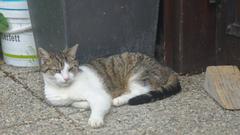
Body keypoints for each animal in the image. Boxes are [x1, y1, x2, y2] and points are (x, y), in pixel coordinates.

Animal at [37, 44, 180, 127]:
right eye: (57, 70)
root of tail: (164, 66)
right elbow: (74, 103)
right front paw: (83, 104)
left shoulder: (100, 95)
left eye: (71, 68)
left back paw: (118, 99)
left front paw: (95, 119)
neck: (64, 90)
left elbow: (99, 105)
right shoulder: (55, 101)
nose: (66, 78)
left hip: (138, 74)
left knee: (141, 90)